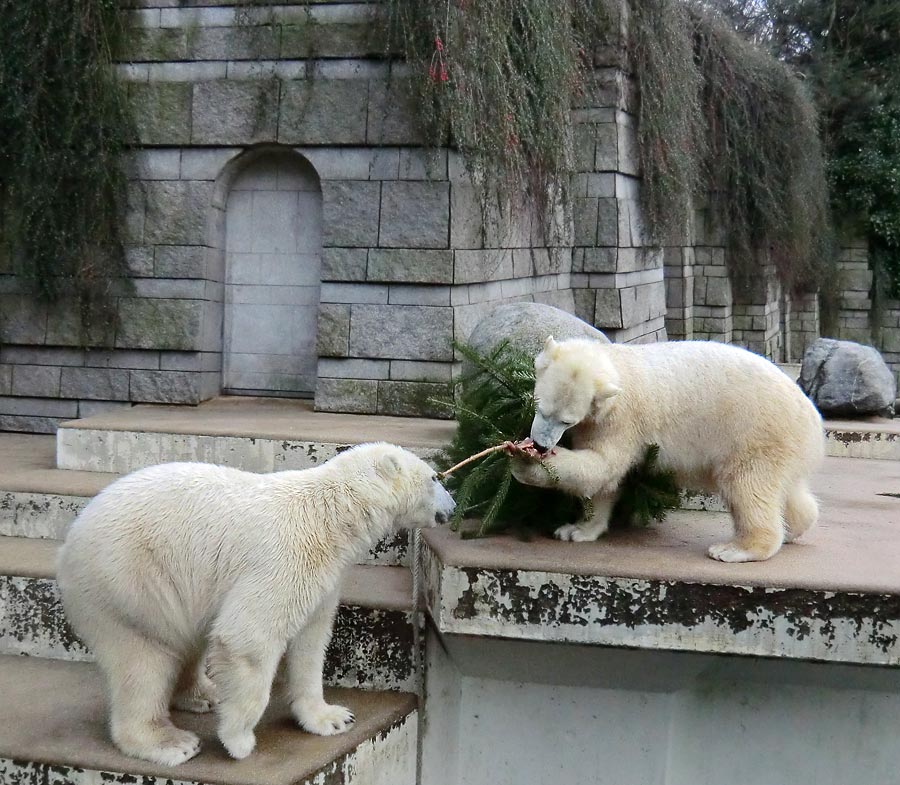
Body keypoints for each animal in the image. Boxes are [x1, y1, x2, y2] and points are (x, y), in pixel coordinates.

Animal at [56, 440, 454, 764]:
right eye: (435, 477)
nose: (452, 506)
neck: (331, 514)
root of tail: (70, 539)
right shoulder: (286, 557)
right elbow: (248, 638)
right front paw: (238, 740)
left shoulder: (324, 575)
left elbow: (311, 642)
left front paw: (332, 717)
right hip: (129, 581)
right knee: (143, 659)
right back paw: (171, 742)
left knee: (187, 641)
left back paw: (205, 694)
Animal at [510, 336, 828, 564]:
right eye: (539, 406)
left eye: (566, 420)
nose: (540, 444)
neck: (620, 367)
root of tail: (813, 420)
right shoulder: (599, 421)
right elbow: (602, 480)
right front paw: (577, 530)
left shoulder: (621, 419)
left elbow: (603, 467)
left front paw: (524, 463)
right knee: (785, 489)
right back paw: (794, 527)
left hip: (755, 432)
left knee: (747, 486)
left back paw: (736, 549)